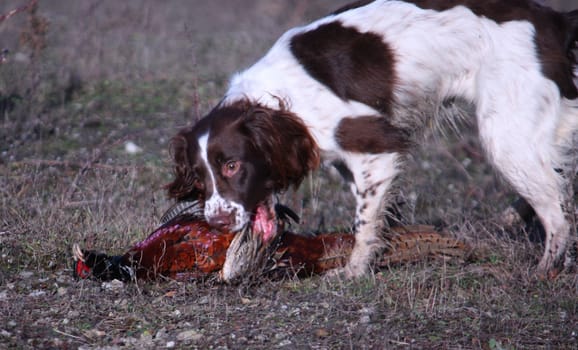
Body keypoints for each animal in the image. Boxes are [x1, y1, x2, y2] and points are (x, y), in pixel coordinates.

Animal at [164, 0, 576, 278]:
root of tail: (556, 22)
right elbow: (375, 212)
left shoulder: (376, 145)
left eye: (232, 165)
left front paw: (353, 271)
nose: (217, 222)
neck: (276, 104)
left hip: (505, 134)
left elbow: (363, 222)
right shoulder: (351, 163)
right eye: (199, 177)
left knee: (556, 214)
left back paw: (545, 268)